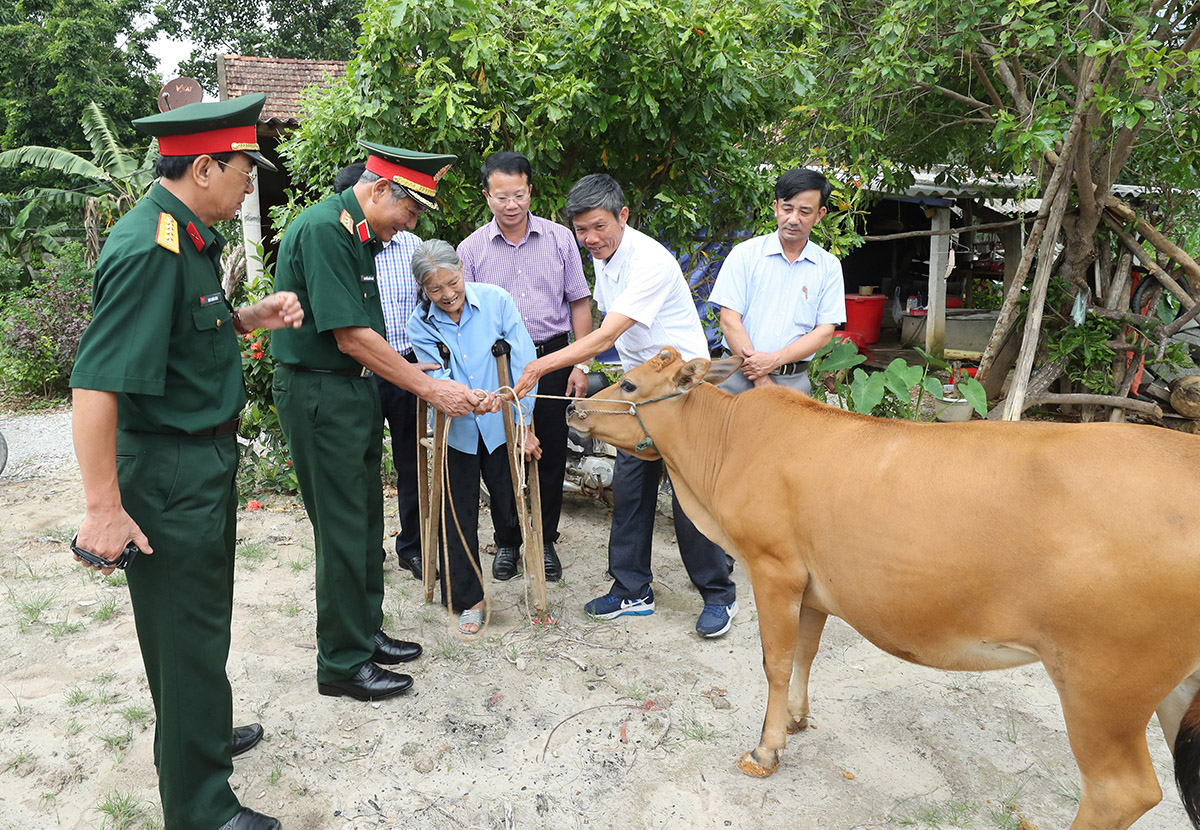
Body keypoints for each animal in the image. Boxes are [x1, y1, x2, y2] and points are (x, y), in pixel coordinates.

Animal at [566, 347, 1200, 830]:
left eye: (628, 381)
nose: (573, 406)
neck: (719, 452)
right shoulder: (812, 586)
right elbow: (805, 652)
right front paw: (795, 720)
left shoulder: (773, 568)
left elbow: (776, 660)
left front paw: (767, 749)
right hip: (1171, 690)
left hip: (1102, 684)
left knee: (1121, 791)